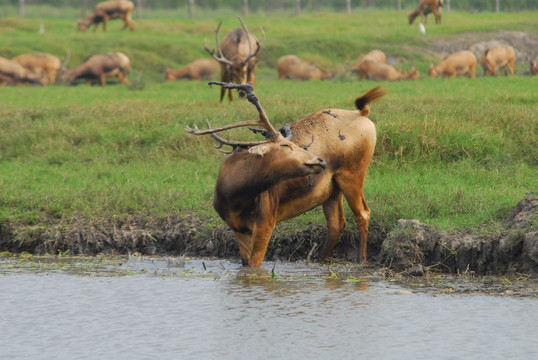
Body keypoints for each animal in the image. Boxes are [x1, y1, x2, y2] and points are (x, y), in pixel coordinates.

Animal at [186, 82, 384, 268]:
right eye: (285, 145)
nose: (320, 160)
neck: (234, 196)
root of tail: (363, 114)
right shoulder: (237, 228)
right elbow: (245, 264)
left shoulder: (265, 223)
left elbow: (255, 265)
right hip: (332, 190)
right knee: (337, 224)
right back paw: (320, 261)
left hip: (353, 173)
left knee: (363, 213)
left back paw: (361, 260)